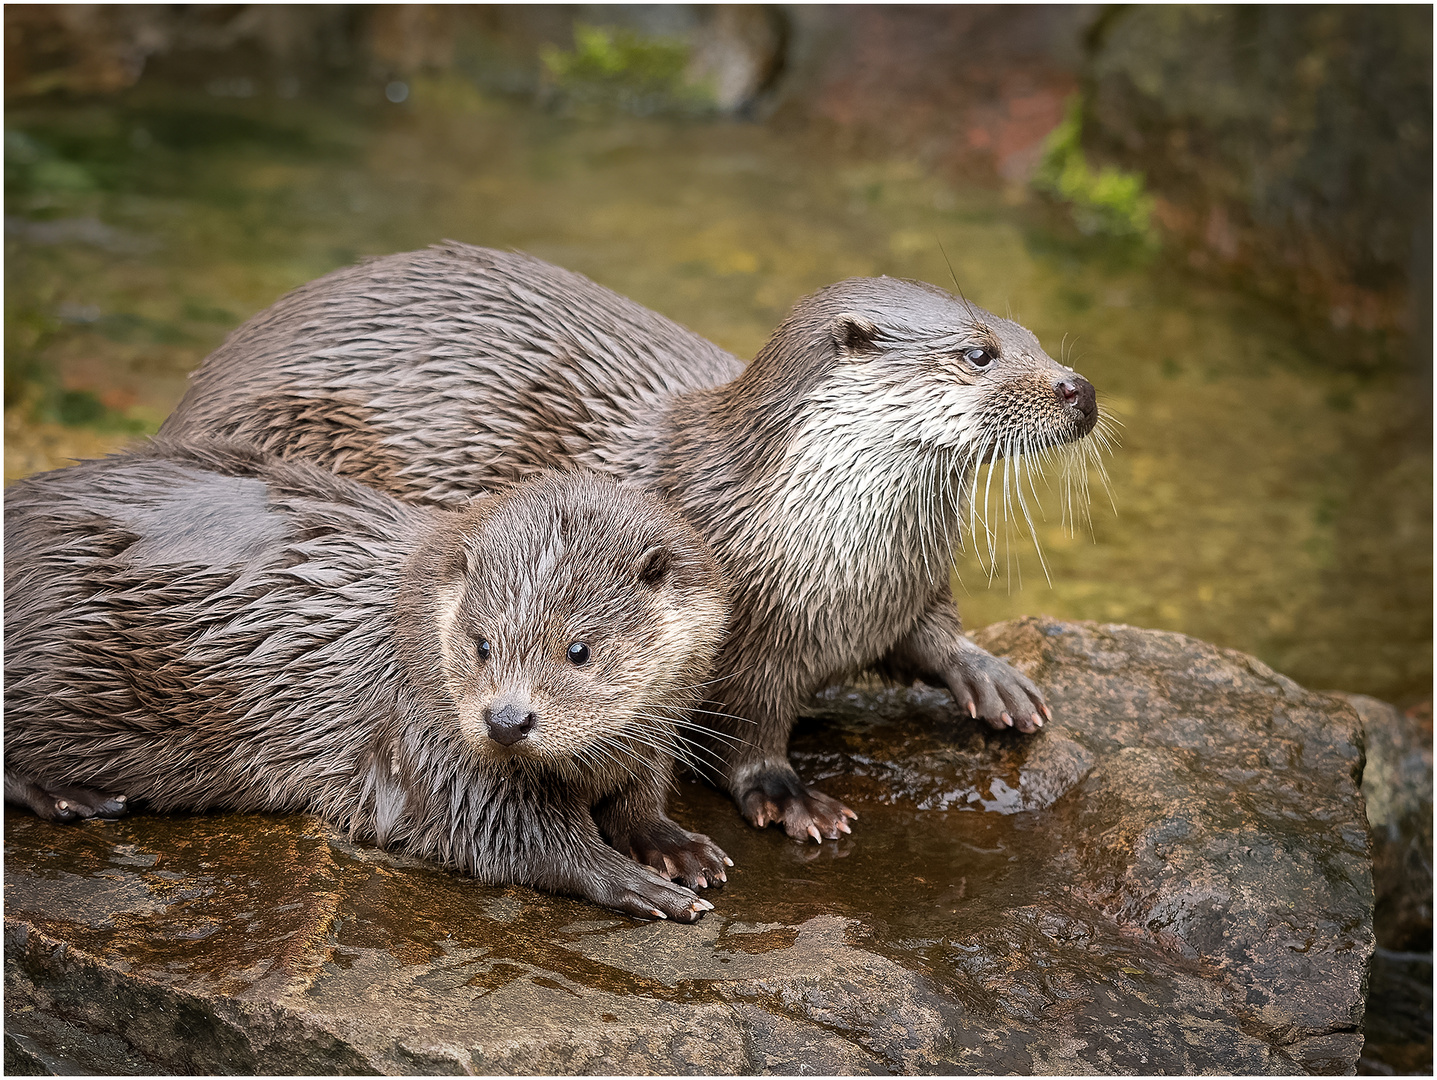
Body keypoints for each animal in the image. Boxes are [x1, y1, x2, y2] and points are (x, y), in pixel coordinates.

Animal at [2, 439, 729, 919]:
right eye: (480, 644)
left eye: (578, 649)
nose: (506, 720)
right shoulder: (428, 736)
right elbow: (511, 837)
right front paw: (633, 882)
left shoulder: (654, 735)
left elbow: (638, 799)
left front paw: (678, 848)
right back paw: (70, 796)